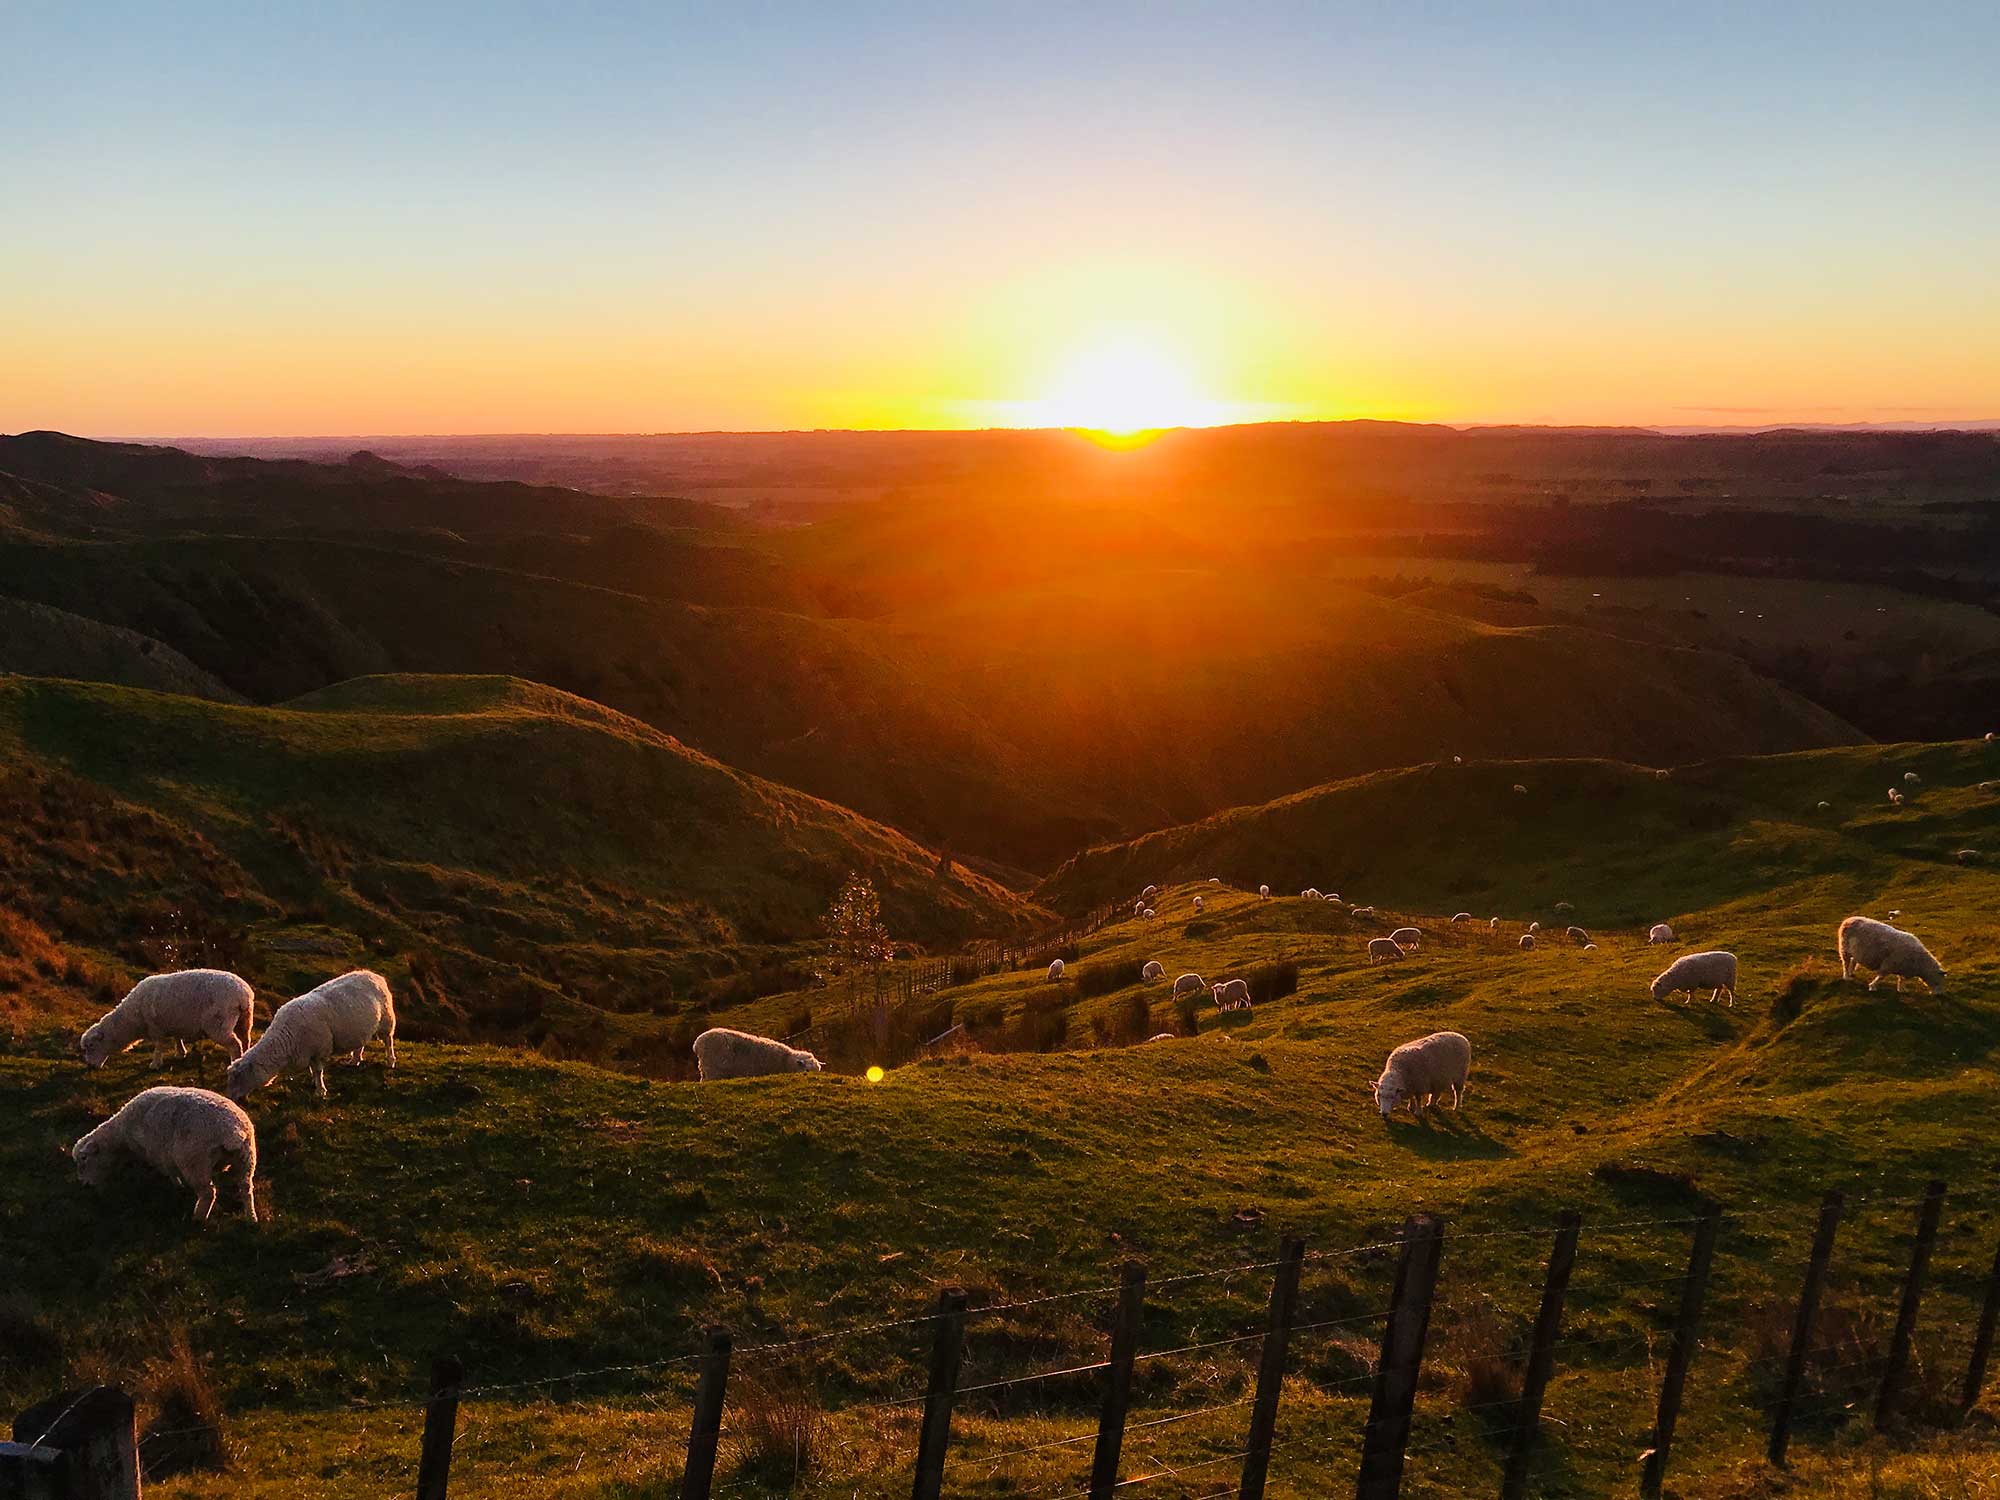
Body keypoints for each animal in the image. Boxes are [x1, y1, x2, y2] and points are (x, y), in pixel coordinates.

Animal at [72, 1088, 258, 1224]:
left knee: (208, 1193)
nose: (84, 1185)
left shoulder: (156, 1151)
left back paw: (198, 1218)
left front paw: (177, 1184)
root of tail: (232, 1132)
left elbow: (168, 1170)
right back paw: (251, 1217)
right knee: (246, 1188)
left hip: (194, 1162)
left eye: (84, 1160)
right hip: (247, 1158)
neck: (120, 1137)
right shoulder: (164, 1152)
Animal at [80, 968, 256, 1072]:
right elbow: (177, 1038)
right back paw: (244, 1059)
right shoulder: (174, 1023)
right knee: (245, 1039)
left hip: (218, 1023)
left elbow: (159, 1046)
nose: (90, 1066)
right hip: (244, 1020)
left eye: (91, 1046)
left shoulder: (155, 1028)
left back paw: (234, 1063)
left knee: (235, 1044)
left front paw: (155, 1064)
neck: (131, 1021)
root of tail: (243, 994)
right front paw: (181, 1053)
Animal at [223, 976, 398, 1104]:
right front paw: (315, 1083)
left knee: (388, 1041)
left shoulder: (319, 1050)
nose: (231, 1099)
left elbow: (319, 1070)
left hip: (386, 1020)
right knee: (359, 1044)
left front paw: (320, 1091)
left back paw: (390, 1061)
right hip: (359, 1029)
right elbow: (313, 1070)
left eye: (239, 1077)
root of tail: (374, 975)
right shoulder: (309, 1052)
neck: (285, 1040)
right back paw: (354, 1060)